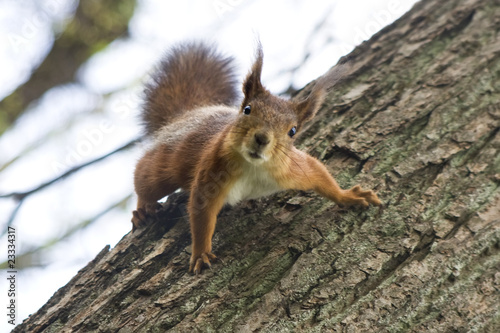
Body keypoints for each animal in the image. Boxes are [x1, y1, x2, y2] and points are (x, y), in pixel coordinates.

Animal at [131, 41, 380, 274]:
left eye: (293, 130)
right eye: (247, 109)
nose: (262, 138)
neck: (253, 167)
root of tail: (191, 114)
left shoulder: (292, 168)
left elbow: (319, 173)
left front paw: (349, 196)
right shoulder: (212, 170)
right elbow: (202, 211)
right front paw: (201, 253)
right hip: (166, 164)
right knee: (145, 178)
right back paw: (142, 209)